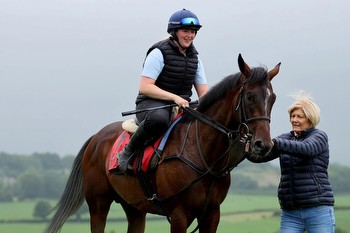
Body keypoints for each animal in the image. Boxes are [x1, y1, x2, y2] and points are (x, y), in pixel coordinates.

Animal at [44, 53, 278, 232]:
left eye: (273, 99)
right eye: (249, 96)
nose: (263, 145)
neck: (202, 153)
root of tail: (95, 137)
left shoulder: (212, 214)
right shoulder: (179, 215)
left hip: (134, 208)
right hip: (98, 204)